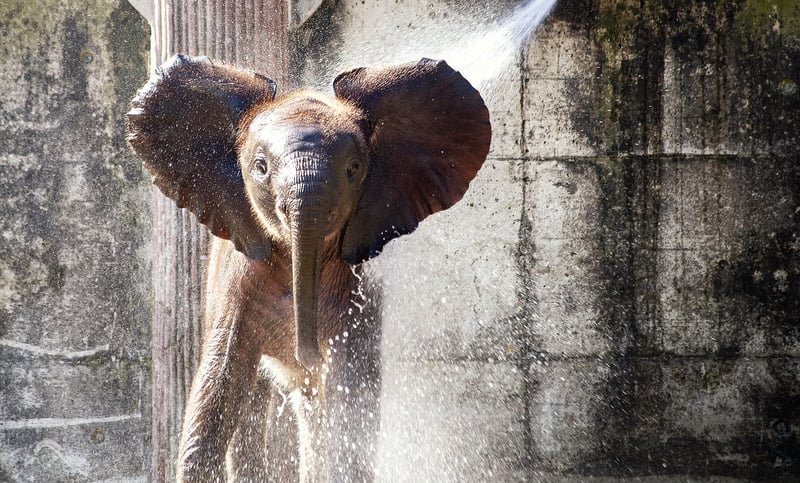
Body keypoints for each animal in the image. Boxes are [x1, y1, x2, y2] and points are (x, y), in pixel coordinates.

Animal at [126, 54, 491, 481]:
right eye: (261, 167)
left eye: (353, 169)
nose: (308, 354)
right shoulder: (237, 283)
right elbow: (218, 387)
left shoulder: (356, 296)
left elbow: (348, 403)